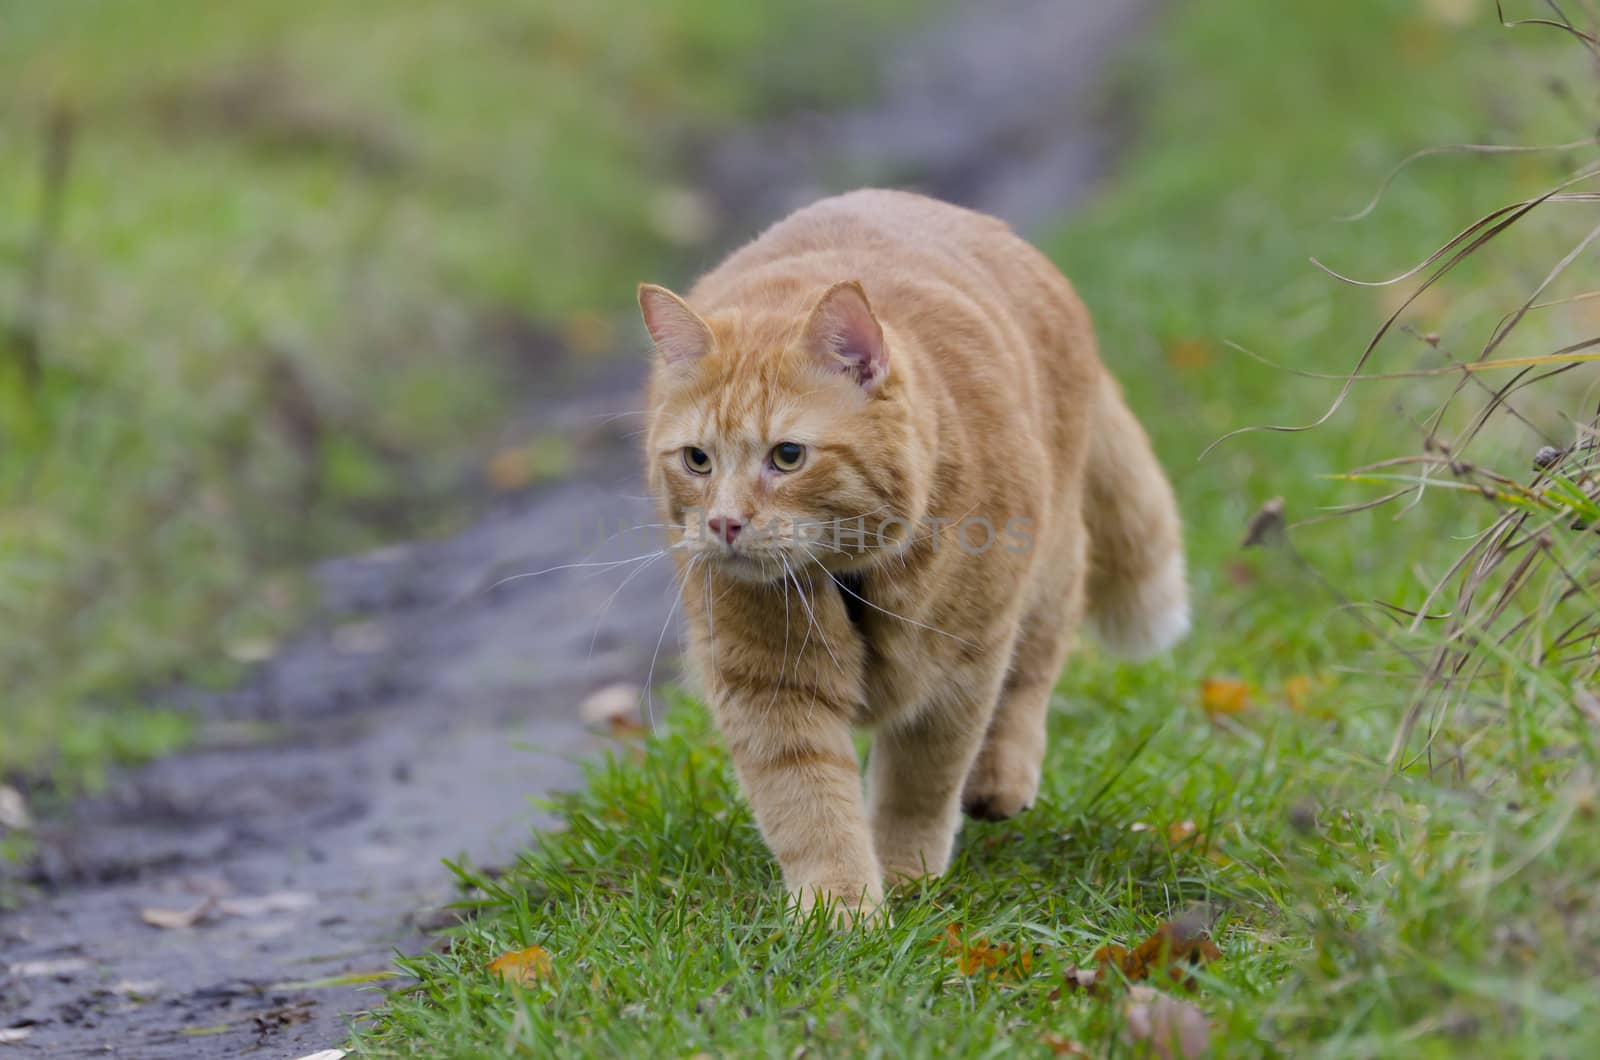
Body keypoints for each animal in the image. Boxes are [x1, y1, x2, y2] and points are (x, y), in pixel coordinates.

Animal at [640, 188, 1190, 922]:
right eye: (697, 460)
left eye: (788, 455)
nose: (724, 522)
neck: (847, 578)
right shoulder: (767, 683)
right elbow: (809, 805)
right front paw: (838, 912)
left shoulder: (958, 669)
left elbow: (920, 783)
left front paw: (905, 876)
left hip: (1046, 572)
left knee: (1032, 672)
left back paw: (1000, 778)